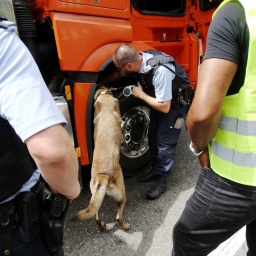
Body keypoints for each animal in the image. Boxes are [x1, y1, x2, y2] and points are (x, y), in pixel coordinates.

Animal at [73, 87, 130, 231]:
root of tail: (103, 176)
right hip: (122, 194)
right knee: (118, 216)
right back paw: (125, 226)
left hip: (95, 196)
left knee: (96, 214)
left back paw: (102, 226)